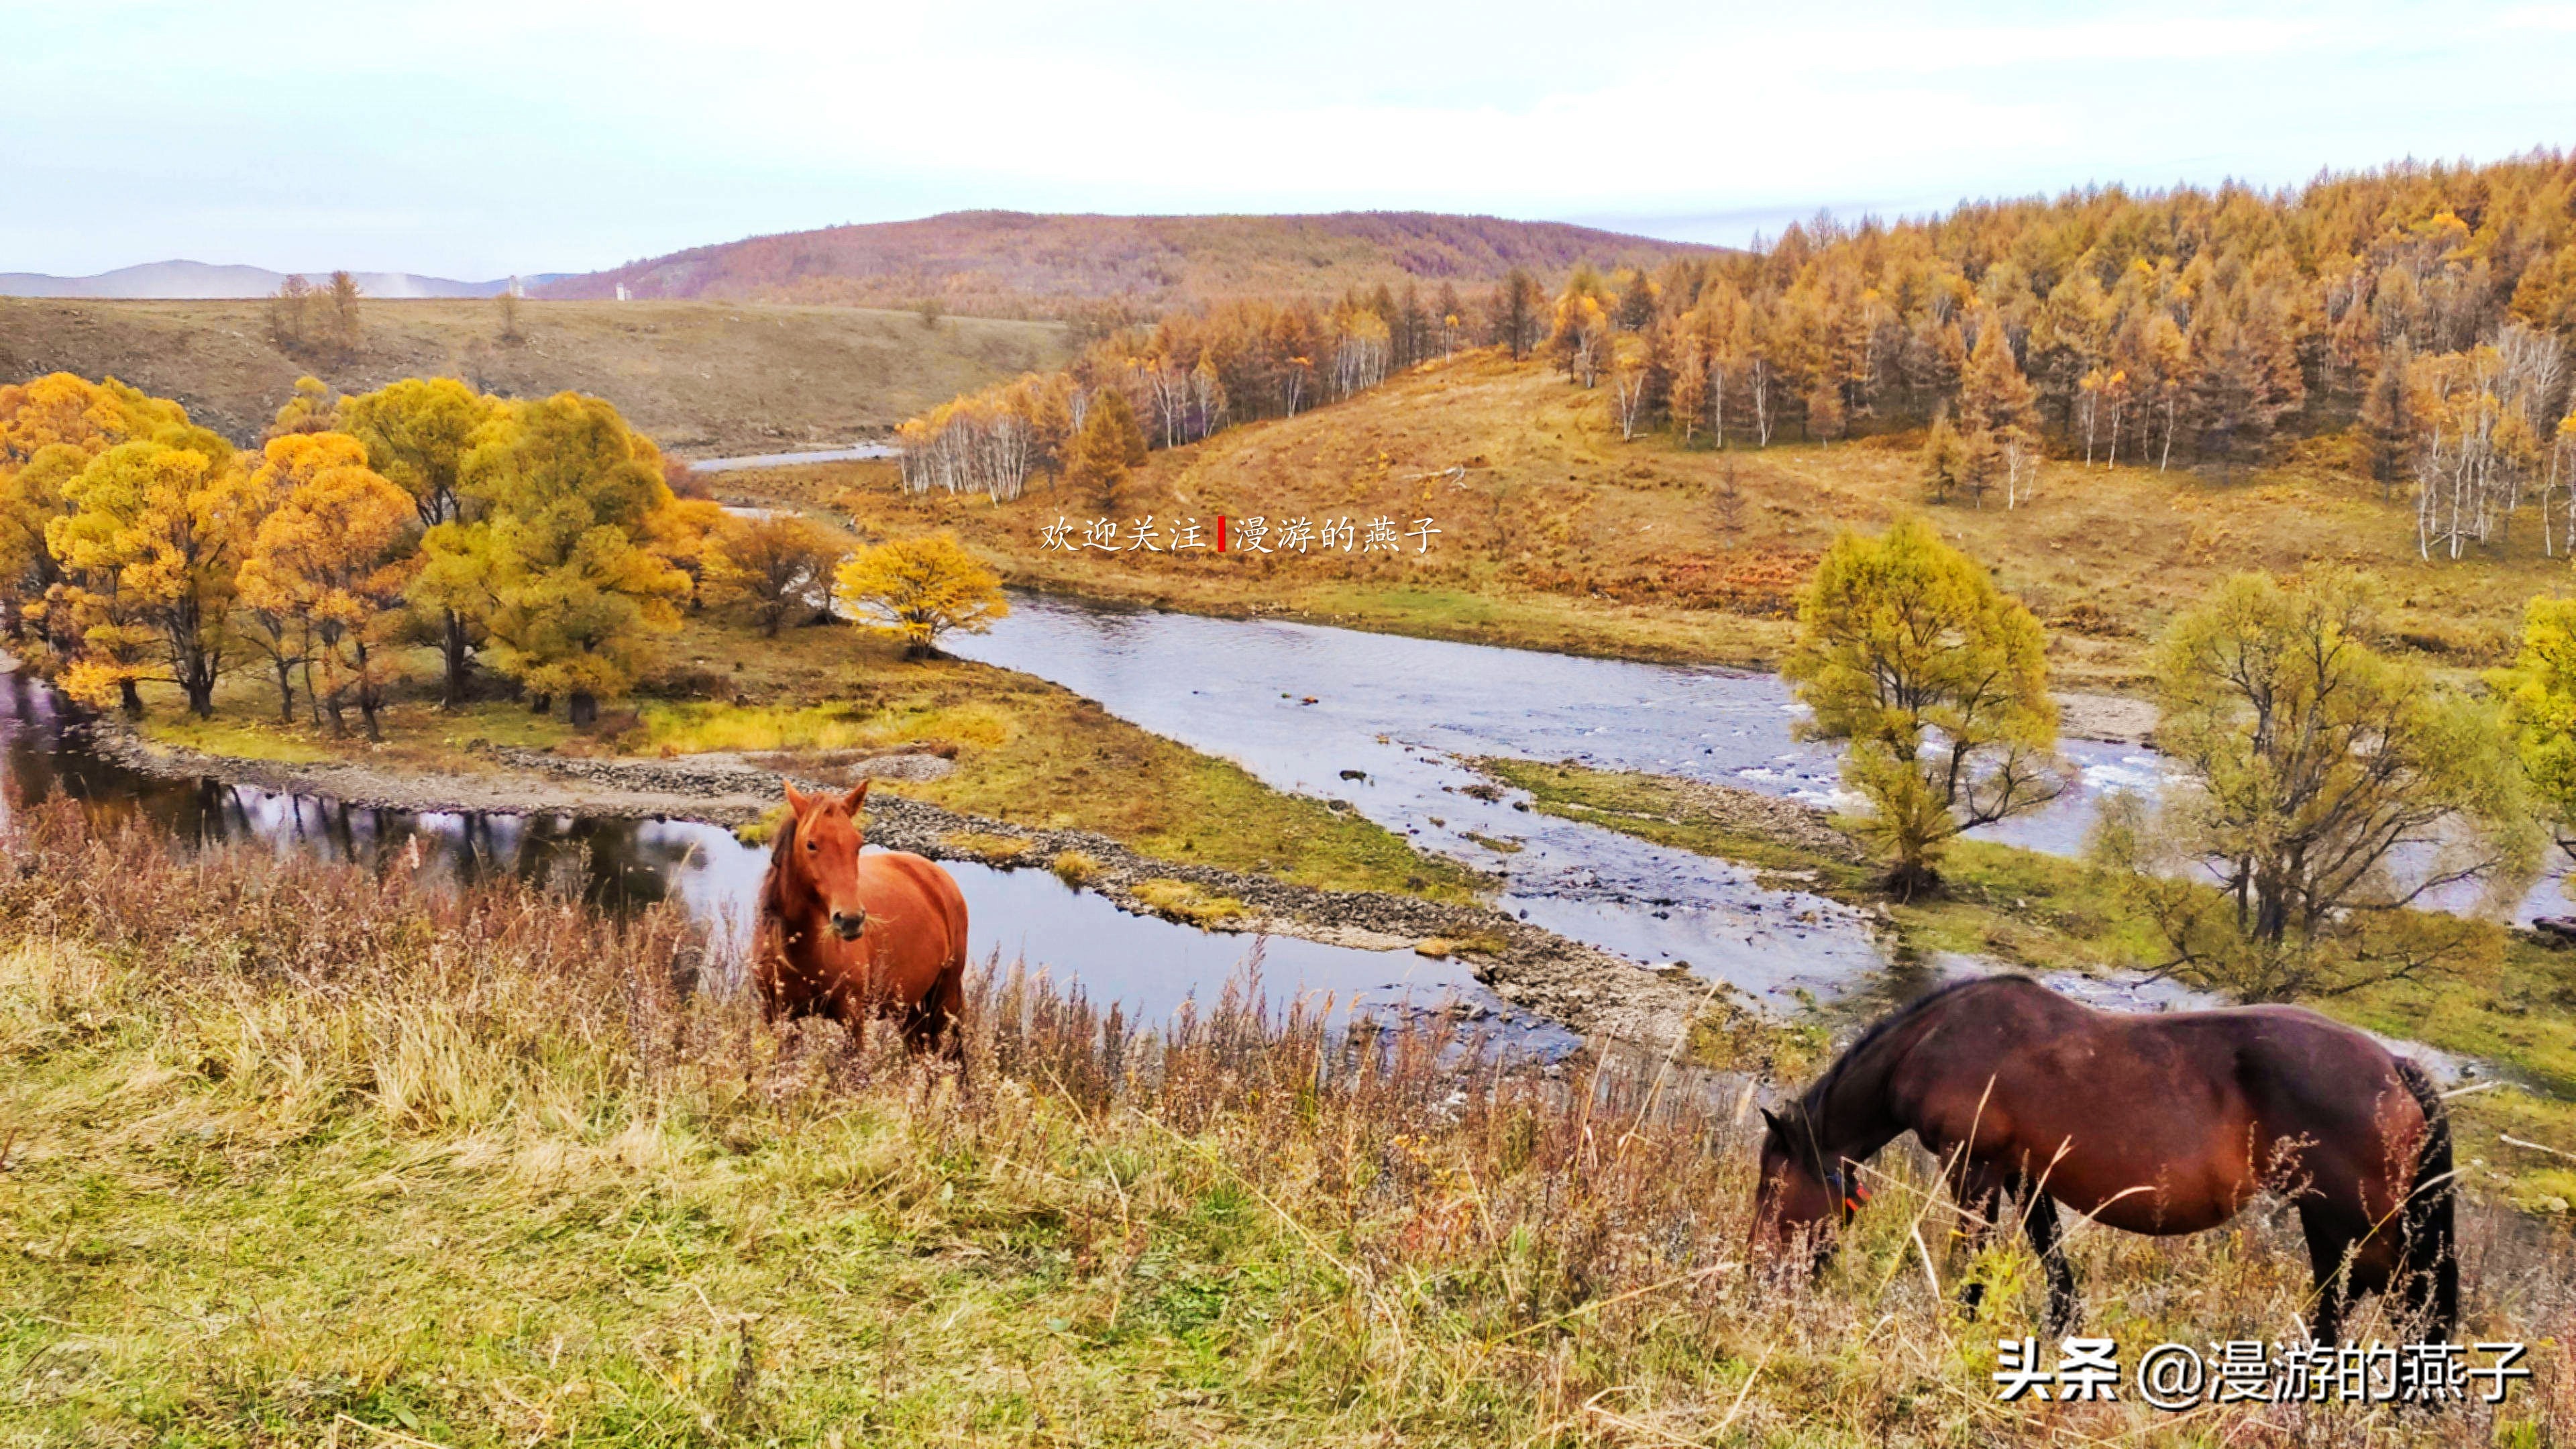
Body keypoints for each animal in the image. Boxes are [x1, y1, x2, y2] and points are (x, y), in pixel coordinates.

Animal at [762, 778, 973, 1046]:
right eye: (811, 844)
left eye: (858, 844)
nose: (851, 920)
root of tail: (937, 875)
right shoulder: (776, 1017)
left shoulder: (852, 1018)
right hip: (907, 1007)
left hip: (946, 997)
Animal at [1752, 974, 2452, 1340]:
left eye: (1770, 1186)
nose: (1761, 1278)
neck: (1937, 1041)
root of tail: (2393, 1066)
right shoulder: (2024, 1173)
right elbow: (2052, 1255)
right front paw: (2060, 1327)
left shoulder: (1974, 1168)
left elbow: (1971, 1256)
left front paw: (1962, 1322)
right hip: (2329, 1217)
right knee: (2352, 1294)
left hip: (2357, 1219)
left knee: (2398, 1298)